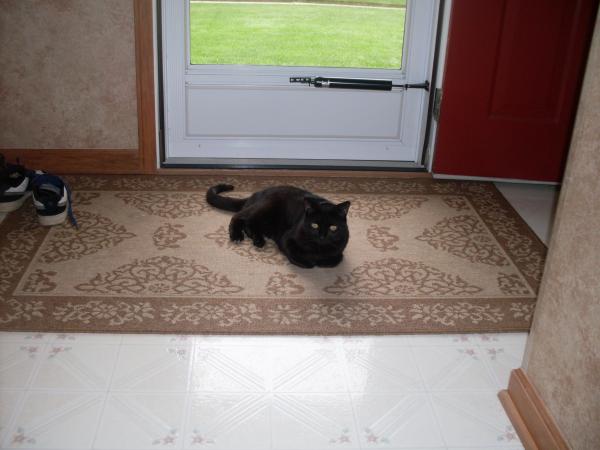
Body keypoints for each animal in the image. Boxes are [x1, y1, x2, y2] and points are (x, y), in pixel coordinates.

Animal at [207, 183, 352, 268]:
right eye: (314, 225)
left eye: (333, 227)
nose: (322, 236)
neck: (318, 248)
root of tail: (255, 194)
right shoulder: (285, 239)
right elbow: (296, 256)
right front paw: (310, 262)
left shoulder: (340, 248)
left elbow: (335, 259)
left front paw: (321, 260)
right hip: (266, 205)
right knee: (238, 217)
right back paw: (237, 236)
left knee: (249, 224)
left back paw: (258, 240)